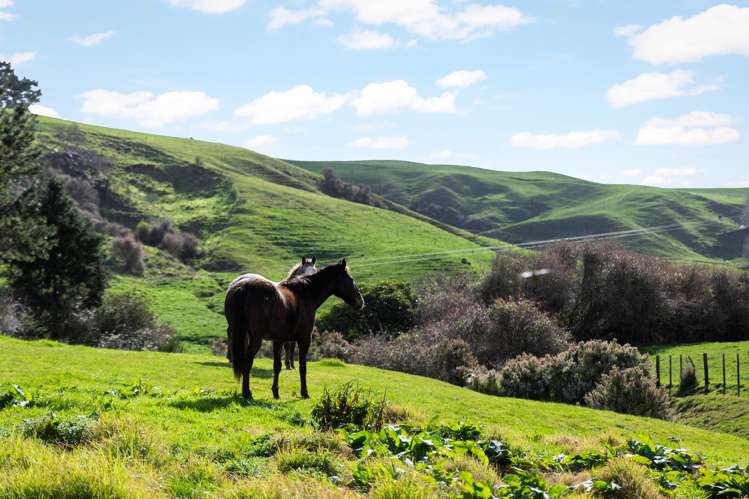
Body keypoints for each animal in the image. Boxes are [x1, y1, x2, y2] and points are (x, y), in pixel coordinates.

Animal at [225, 260, 362, 400]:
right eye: (351, 279)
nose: (360, 302)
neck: (305, 294)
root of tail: (242, 288)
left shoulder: (278, 340)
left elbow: (277, 366)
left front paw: (275, 392)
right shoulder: (305, 339)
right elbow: (302, 367)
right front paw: (304, 392)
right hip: (255, 339)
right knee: (247, 362)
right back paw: (247, 393)